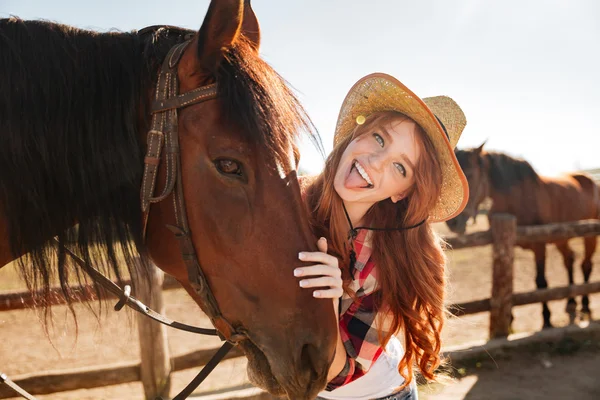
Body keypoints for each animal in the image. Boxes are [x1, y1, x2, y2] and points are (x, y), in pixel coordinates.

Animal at [448, 144, 596, 328]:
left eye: (469, 174)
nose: (453, 222)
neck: (517, 199)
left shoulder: (539, 245)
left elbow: (541, 282)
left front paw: (546, 319)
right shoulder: (507, 245)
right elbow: (507, 279)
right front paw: (509, 320)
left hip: (589, 236)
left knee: (586, 265)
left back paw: (585, 307)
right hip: (561, 238)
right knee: (569, 259)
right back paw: (571, 303)